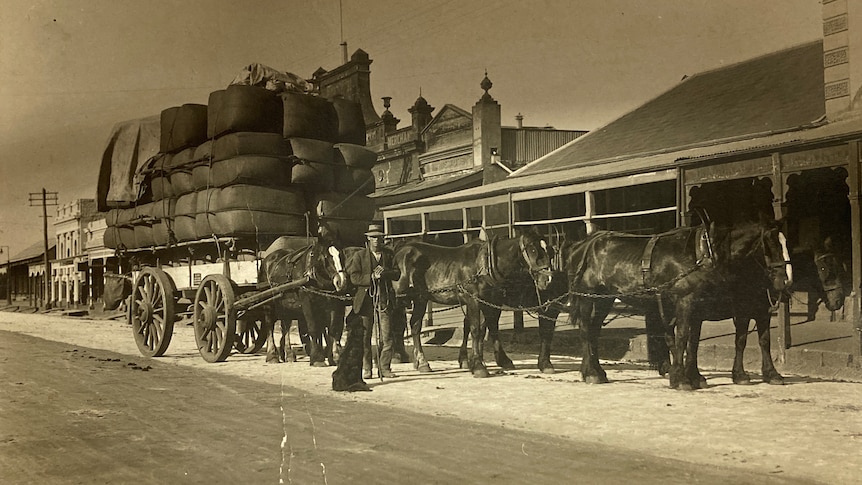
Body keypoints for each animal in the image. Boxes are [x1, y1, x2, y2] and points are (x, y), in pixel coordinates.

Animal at [394, 227, 552, 378]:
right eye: (533, 249)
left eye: (549, 249)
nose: (548, 279)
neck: (484, 265)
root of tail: (401, 249)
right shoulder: (473, 300)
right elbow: (475, 330)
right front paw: (478, 366)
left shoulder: (491, 301)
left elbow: (489, 329)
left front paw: (499, 360)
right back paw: (412, 360)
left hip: (420, 298)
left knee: (415, 325)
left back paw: (419, 362)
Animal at [564, 219, 792, 390]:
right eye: (771, 245)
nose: (786, 280)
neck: (703, 255)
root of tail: (583, 244)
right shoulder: (689, 302)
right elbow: (684, 337)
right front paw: (682, 379)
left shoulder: (706, 306)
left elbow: (696, 342)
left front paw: (695, 376)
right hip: (588, 296)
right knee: (586, 330)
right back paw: (592, 373)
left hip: (605, 298)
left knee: (593, 331)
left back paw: (593, 371)